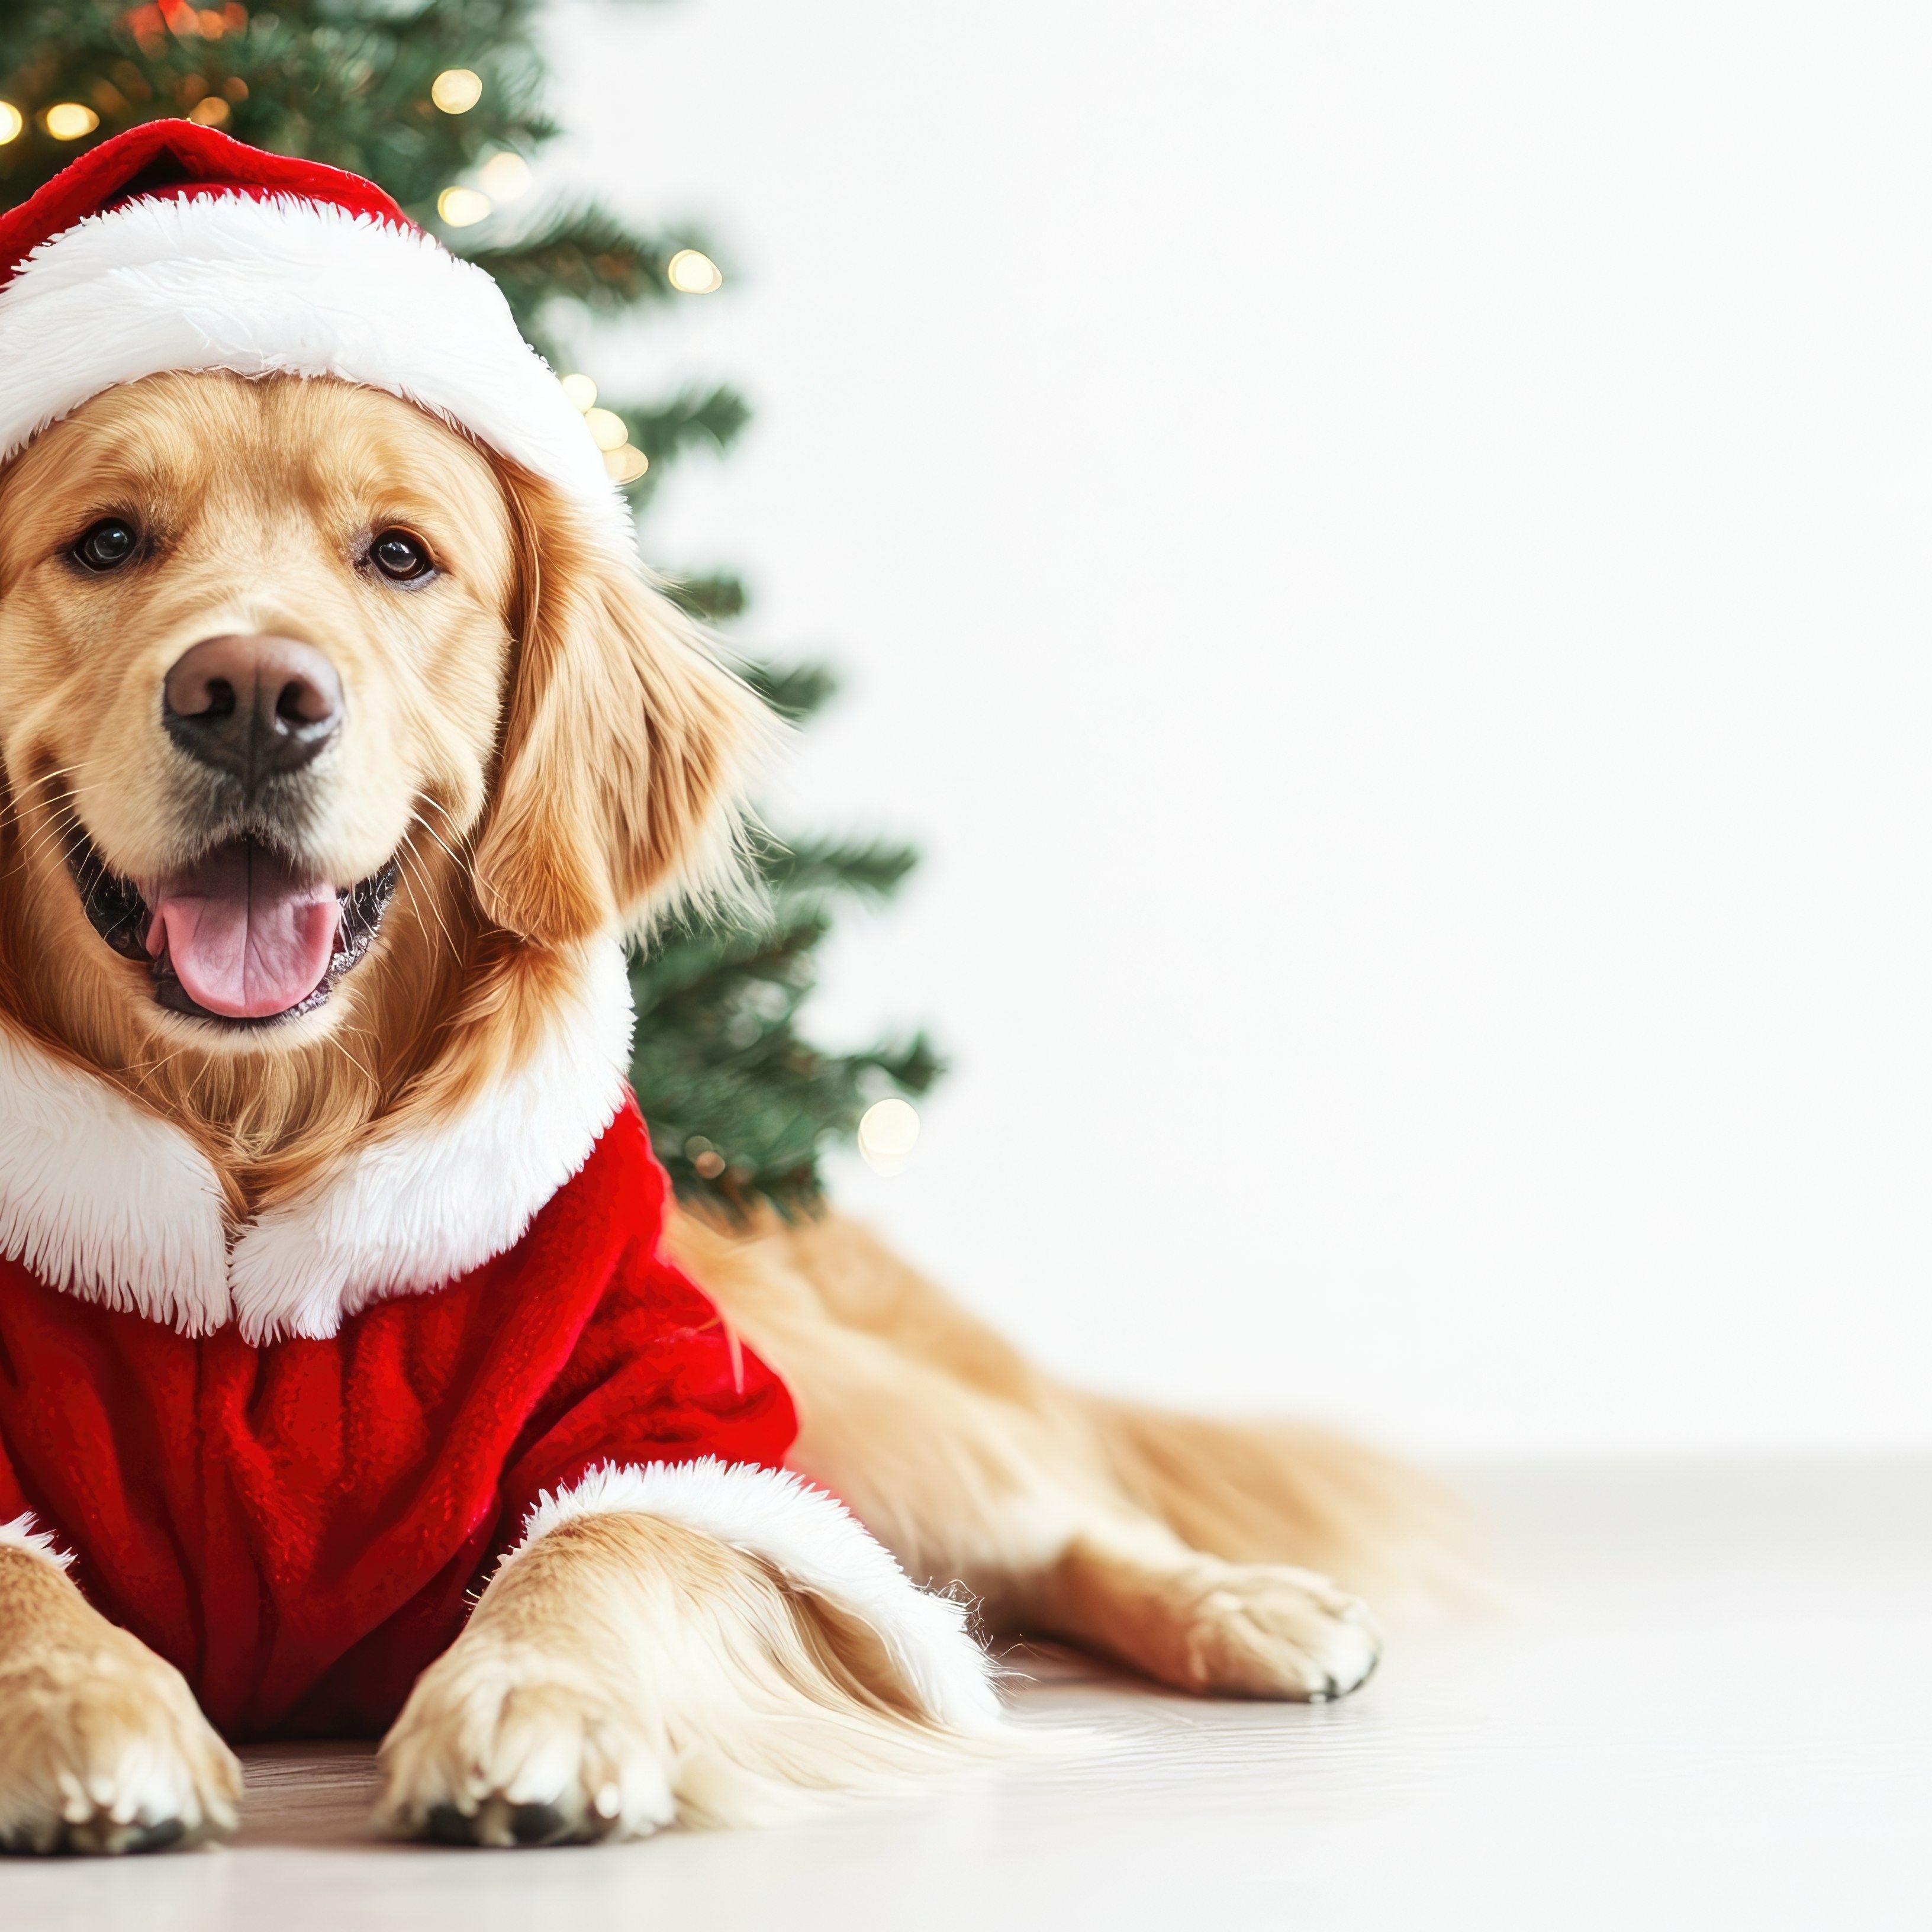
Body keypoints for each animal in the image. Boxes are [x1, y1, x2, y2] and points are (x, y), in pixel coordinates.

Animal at [0, 363, 1453, 1854]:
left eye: (400, 556)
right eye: (106, 542)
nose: (250, 696)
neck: (255, 1155)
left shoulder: (673, 1412)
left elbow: (613, 1528)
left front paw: (532, 1697)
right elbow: (20, 1582)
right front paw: (81, 1700)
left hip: (855, 1417)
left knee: (1054, 1525)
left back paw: (1248, 1606)